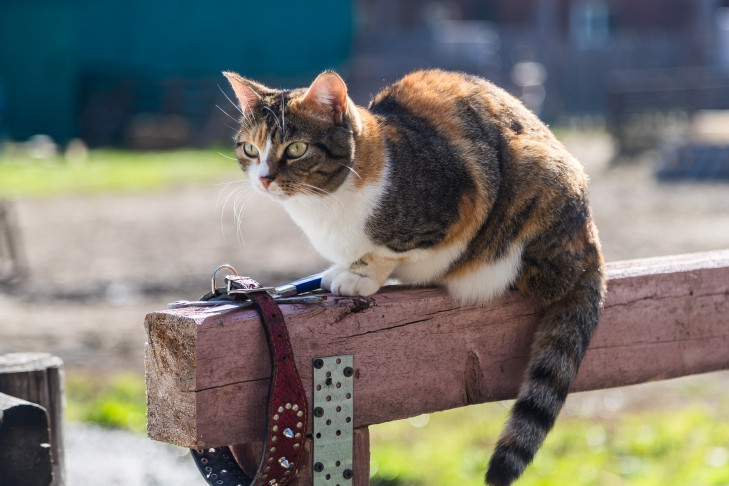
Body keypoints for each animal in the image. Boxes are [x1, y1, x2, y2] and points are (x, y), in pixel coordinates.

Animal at [225, 68, 604, 486]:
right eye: (250, 149)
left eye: (295, 149)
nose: (264, 179)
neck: (322, 202)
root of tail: (588, 243)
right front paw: (341, 268)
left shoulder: (457, 203)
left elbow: (390, 251)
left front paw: (360, 274)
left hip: (534, 183)